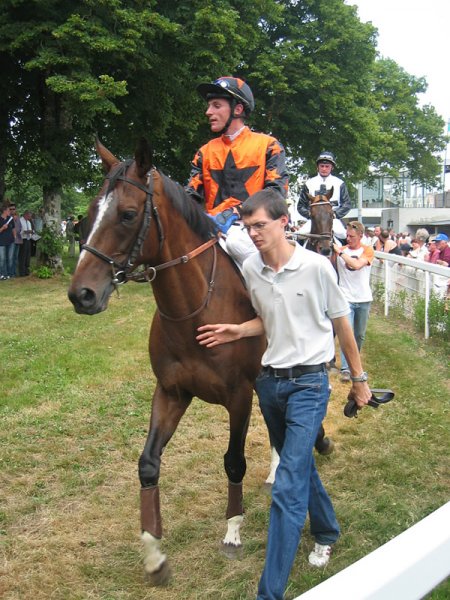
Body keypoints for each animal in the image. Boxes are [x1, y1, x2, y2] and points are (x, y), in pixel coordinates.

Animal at [66, 138, 264, 584]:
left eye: (127, 214)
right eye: (88, 215)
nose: (81, 295)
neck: (197, 310)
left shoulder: (240, 396)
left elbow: (234, 462)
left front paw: (233, 532)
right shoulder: (171, 392)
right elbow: (148, 464)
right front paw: (154, 553)